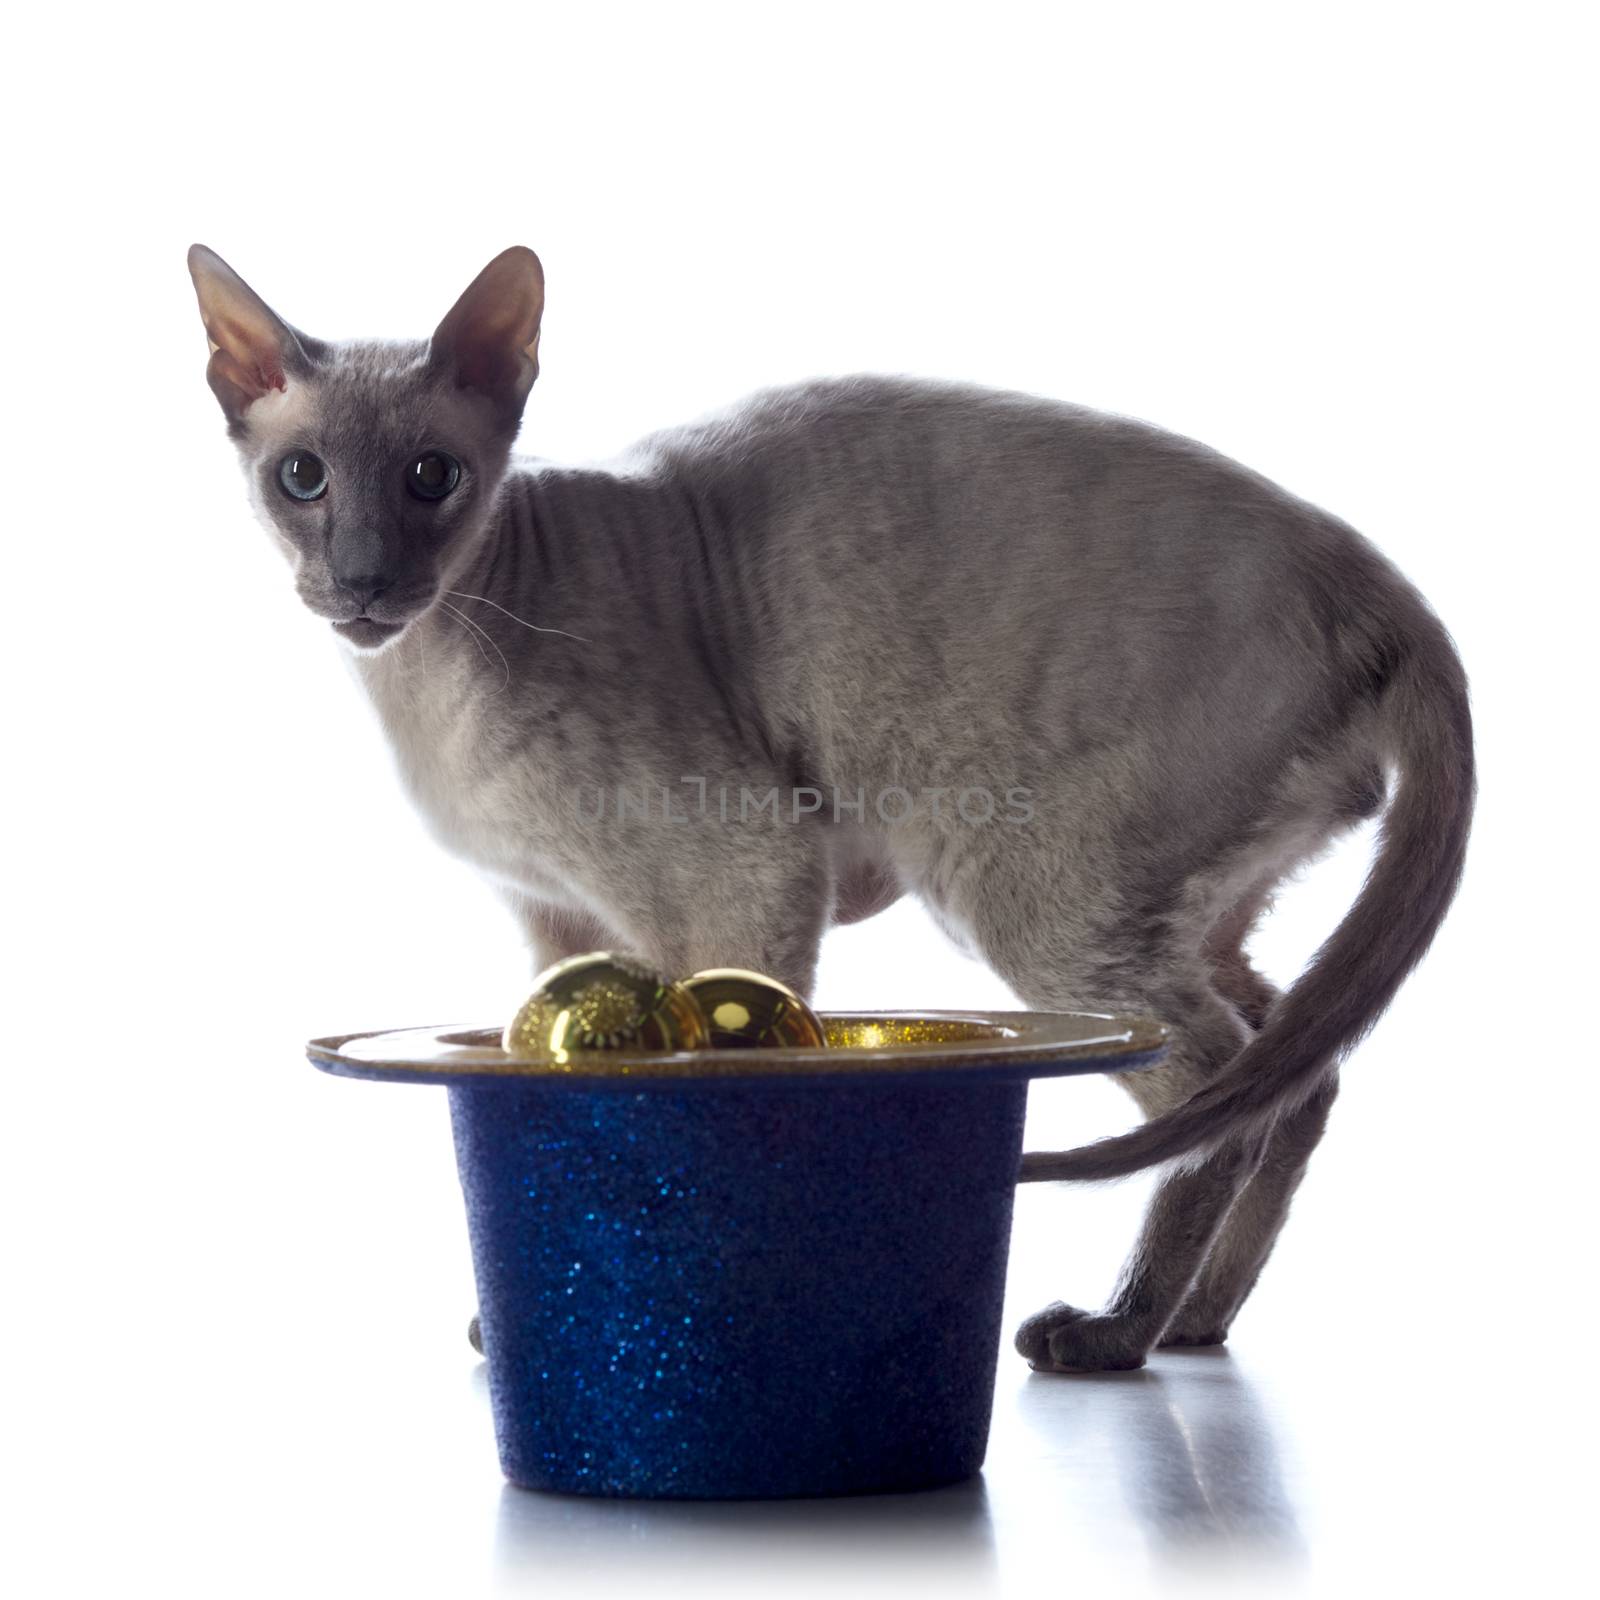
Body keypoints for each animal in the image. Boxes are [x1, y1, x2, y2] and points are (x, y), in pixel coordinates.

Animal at [187, 243, 1472, 1369]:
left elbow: (721, 1076)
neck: (426, 680)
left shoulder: (745, 871)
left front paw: (698, 1295)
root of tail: (1388, 594)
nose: (360, 580)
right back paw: (1199, 1321)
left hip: (1032, 900)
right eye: (303, 480)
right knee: (1292, 1071)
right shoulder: (557, 919)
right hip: (1191, 911)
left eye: (430, 478)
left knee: (1218, 1081)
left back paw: (1112, 1333)